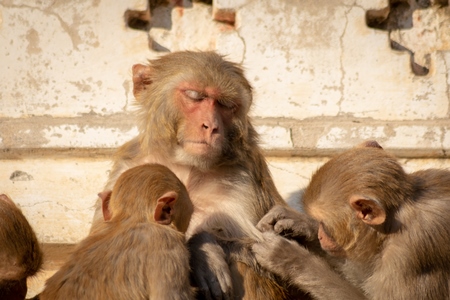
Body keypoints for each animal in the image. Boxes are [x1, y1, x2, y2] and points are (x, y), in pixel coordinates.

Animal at [89, 50, 290, 298]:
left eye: (225, 104)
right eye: (195, 96)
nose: (211, 126)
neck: (187, 167)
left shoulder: (246, 183)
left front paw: (202, 248)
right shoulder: (124, 170)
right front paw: (203, 254)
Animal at [251, 141, 450, 300]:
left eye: (325, 226)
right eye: (319, 223)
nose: (320, 236)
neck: (395, 221)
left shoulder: (410, 252)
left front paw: (289, 257)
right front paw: (299, 224)